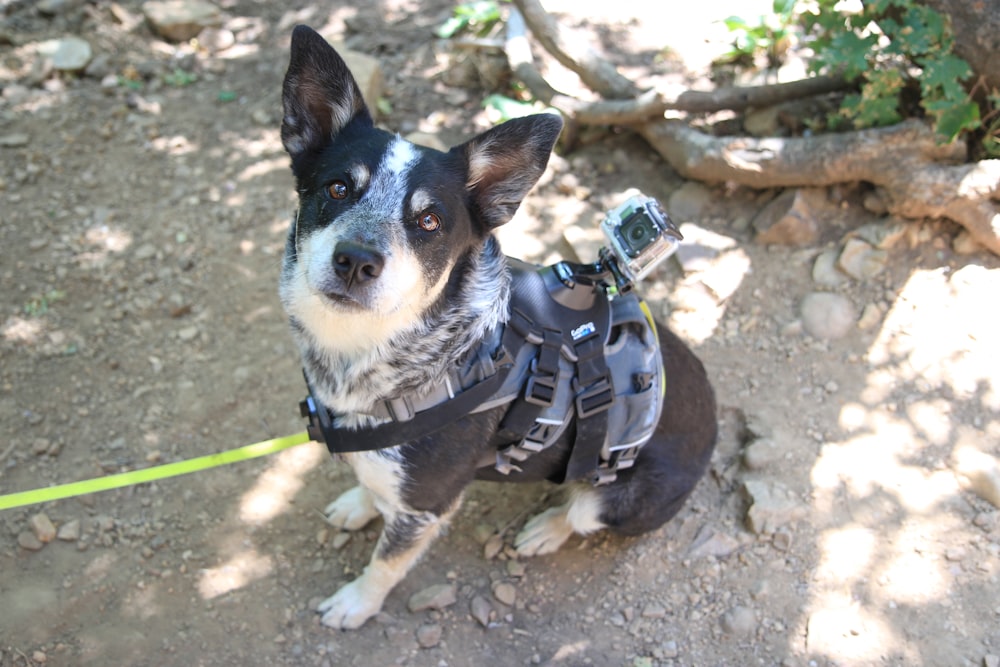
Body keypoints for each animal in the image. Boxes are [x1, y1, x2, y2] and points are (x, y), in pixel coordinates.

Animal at [280, 27, 720, 632]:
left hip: (618, 496)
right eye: (339, 189)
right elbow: (373, 484)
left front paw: (356, 602)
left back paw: (544, 529)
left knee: (582, 512)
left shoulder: (427, 503)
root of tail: (716, 418)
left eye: (429, 222)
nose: (356, 260)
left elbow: (387, 562)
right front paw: (358, 504)